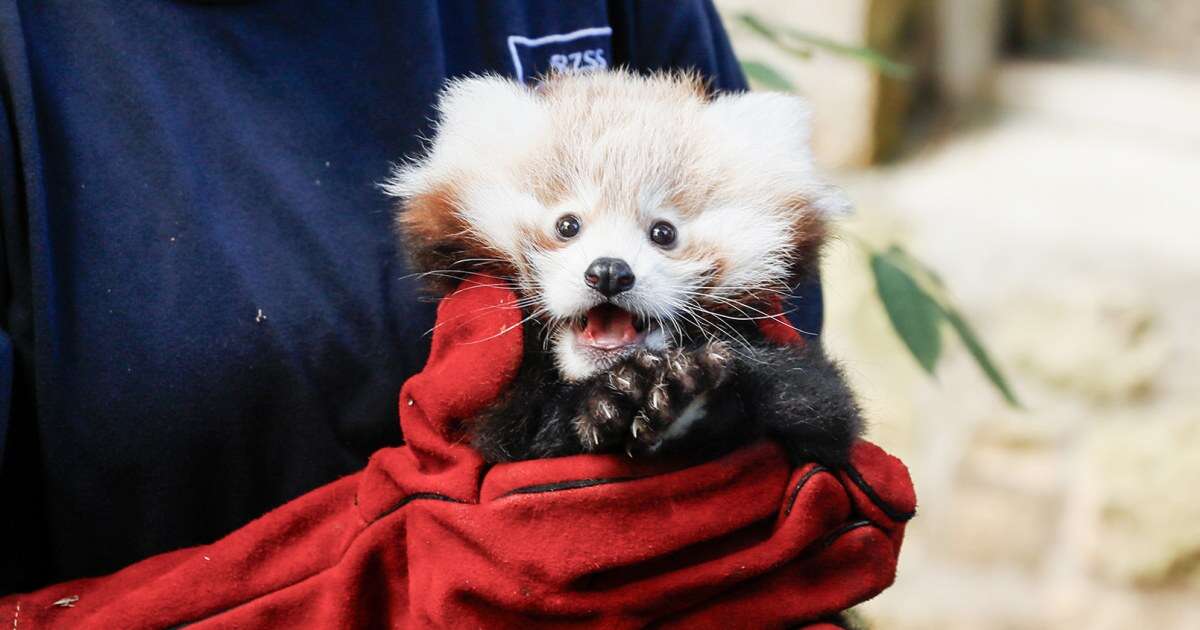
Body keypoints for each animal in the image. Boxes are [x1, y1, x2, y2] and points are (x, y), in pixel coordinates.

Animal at [384, 69, 864, 460]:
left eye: (664, 232)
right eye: (567, 225)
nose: (610, 272)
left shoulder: (813, 393)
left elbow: (818, 402)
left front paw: (688, 397)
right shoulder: (497, 410)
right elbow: (517, 431)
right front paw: (610, 403)